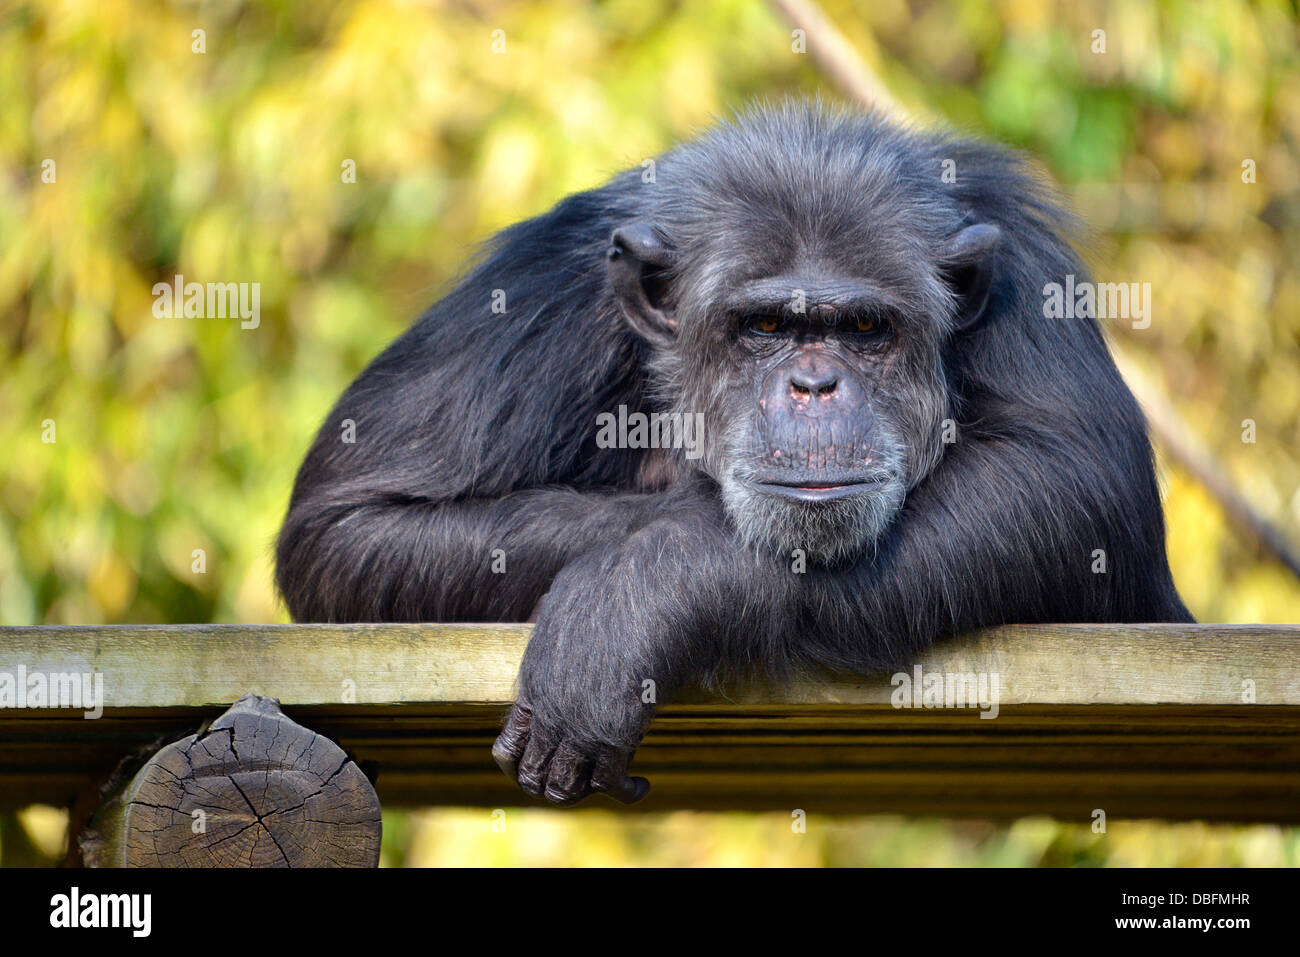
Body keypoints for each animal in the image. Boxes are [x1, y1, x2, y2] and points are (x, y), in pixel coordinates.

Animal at [279, 100, 1190, 806]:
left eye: (865, 327)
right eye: (764, 326)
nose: (814, 385)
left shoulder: (1027, 266)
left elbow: (1072, 470)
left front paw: (644, 590)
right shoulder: (540, 288)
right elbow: (350, 521)